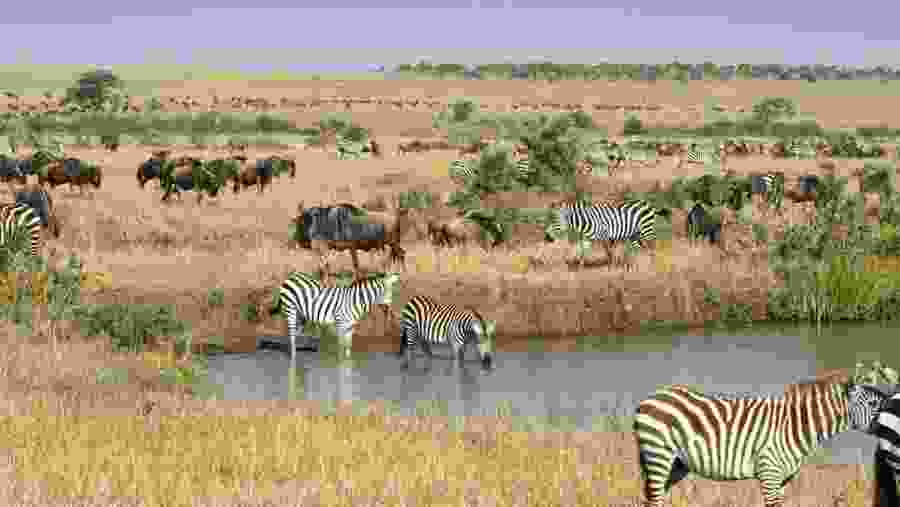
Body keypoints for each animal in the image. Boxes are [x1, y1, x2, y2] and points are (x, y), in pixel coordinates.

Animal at [270, 271, 400, 360]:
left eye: (391, 292)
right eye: (386, 292)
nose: (389, 308)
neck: (355, 301)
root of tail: (291, 277)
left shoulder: (350, 327)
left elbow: (348, 348)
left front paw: (348, 363)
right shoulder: (340, 324)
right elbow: (341, 347)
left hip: (302, 315)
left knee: (294, 335)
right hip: (290, 309)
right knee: (291, 334)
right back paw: (293, 358)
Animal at [634, 379, 887, 507]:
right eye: (873, 404)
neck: (795, 426)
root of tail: (649, 398)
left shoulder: (783, 479)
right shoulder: (769, 474)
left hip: (675, 465)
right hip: (658, 456)